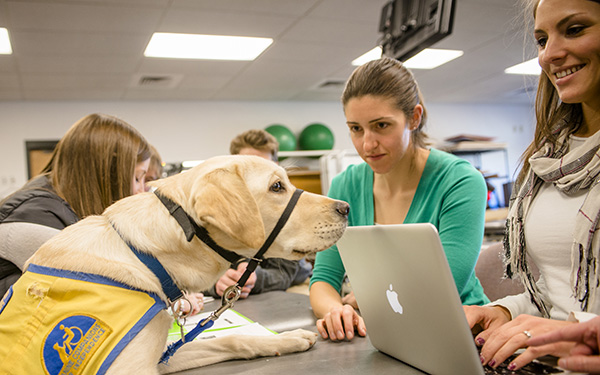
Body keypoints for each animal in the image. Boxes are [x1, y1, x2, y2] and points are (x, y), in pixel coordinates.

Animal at [0, 154, 350, 374]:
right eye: (277, 187)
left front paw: (283, 339)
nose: (345, 207)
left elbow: (230, 339)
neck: (145, 257)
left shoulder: (162, 355)